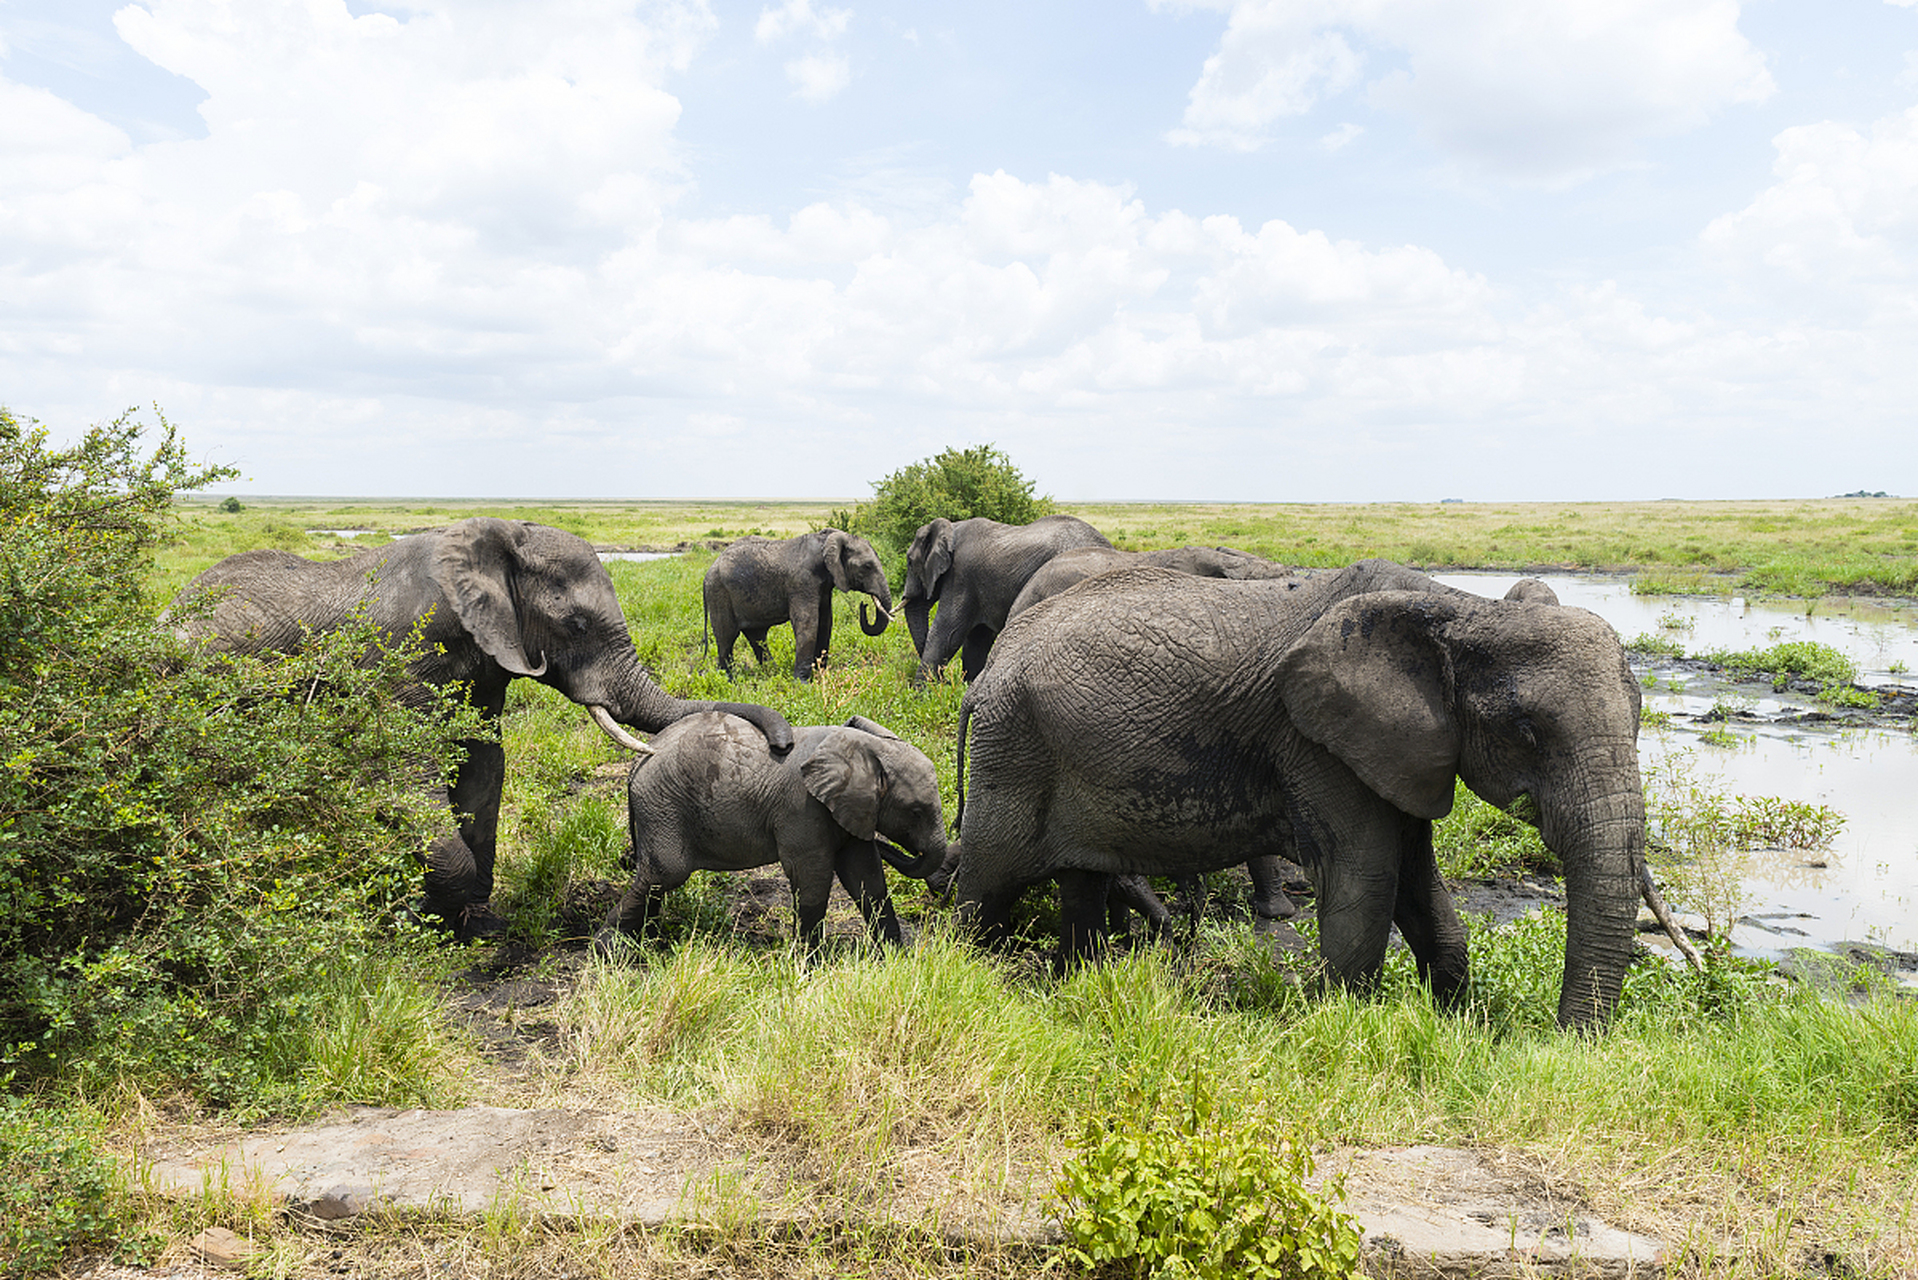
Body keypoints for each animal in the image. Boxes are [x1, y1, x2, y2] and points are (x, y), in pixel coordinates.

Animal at [166, 514, 794, 936]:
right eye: (576, 624)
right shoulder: (400, 655)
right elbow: (406, 777)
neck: (495, 542)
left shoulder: (488, 662)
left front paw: (476, 925)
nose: (784, 743)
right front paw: (438, 917)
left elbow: (483, 767)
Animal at [594, 710, 955, 951]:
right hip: (663, 805)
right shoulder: (802, 808)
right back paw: (608, 947)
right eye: (916, 811)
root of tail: (637, 764)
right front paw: (811, 964)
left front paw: (895, 956)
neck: (865, 749)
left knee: (656, 878)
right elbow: (812, 877)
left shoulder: (851, 808)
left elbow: (866, 877)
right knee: (666, 873)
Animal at [705, 525, 889, 679]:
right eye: (867, 567)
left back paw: (772, 673)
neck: (827, 540)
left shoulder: (824, 587)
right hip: (718, 593)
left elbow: (825, 622)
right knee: (726, 638)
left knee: (756, 636)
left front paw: (819, 675)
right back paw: (729, 680)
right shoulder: (801, 582)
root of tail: (709, 571)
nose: (864, 605)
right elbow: (807, 623)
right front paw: (802, 683)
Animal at [897, 514, 1112, 687]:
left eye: (910, 561)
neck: (952, 528)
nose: (947, 683)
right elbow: (976, 639)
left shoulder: (961, 575)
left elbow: (948, 632)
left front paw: (920, 696)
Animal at [955, 556, 1649, 1028]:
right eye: (1528, 732)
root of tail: (990, 668)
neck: (1464, 611)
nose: (1564, 1042)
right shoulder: (1315, 740)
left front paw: (1454, 1024)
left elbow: (1420, 888)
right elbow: (1367, 882)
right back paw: (975, 973)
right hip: (1010, 747)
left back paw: (1074, 982)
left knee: (1081, 881)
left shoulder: (1395, 748)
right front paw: (1340, 1024)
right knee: (987, 882)